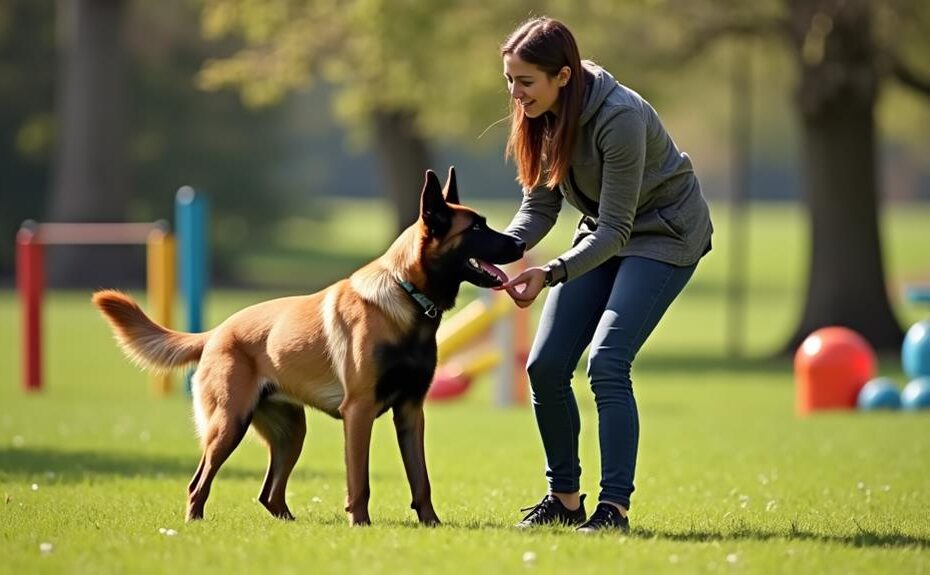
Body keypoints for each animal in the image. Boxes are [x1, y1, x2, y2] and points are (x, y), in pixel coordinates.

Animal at [95, 166, 528, 528]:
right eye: (476, 229)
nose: (521, 244)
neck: (407, 296)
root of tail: (217, 332)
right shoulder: (359, 412)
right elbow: (360, 480)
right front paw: (360, 524)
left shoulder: (410, 412)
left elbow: (420, 480)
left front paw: (431, 524)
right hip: (228, 425)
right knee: (198, 482)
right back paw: (194, 523)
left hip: (291, 433)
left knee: (269, 494)